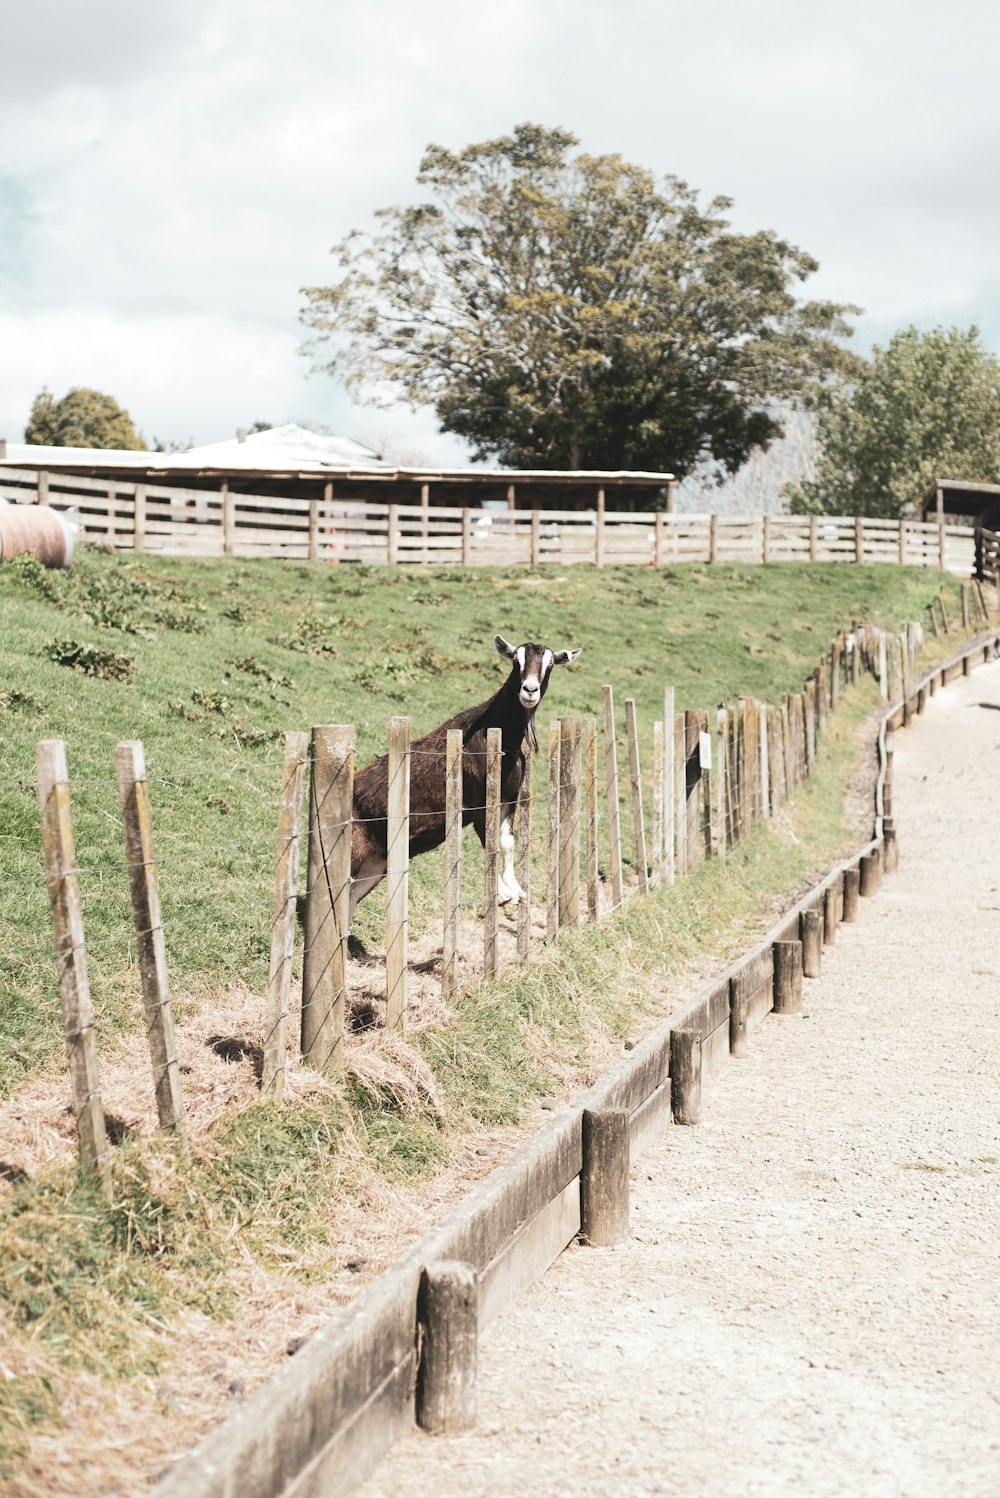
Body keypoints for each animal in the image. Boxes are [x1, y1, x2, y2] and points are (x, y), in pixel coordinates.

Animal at [351, 629, 580, 910]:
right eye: (516, 660)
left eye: (550, 665)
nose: (529, 690)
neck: (501, 741)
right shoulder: (479, 799)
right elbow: (489, 840)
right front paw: (502, 893)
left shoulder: (510, 797)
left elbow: (506, 843)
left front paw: (516, 889)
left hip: (374, 865)